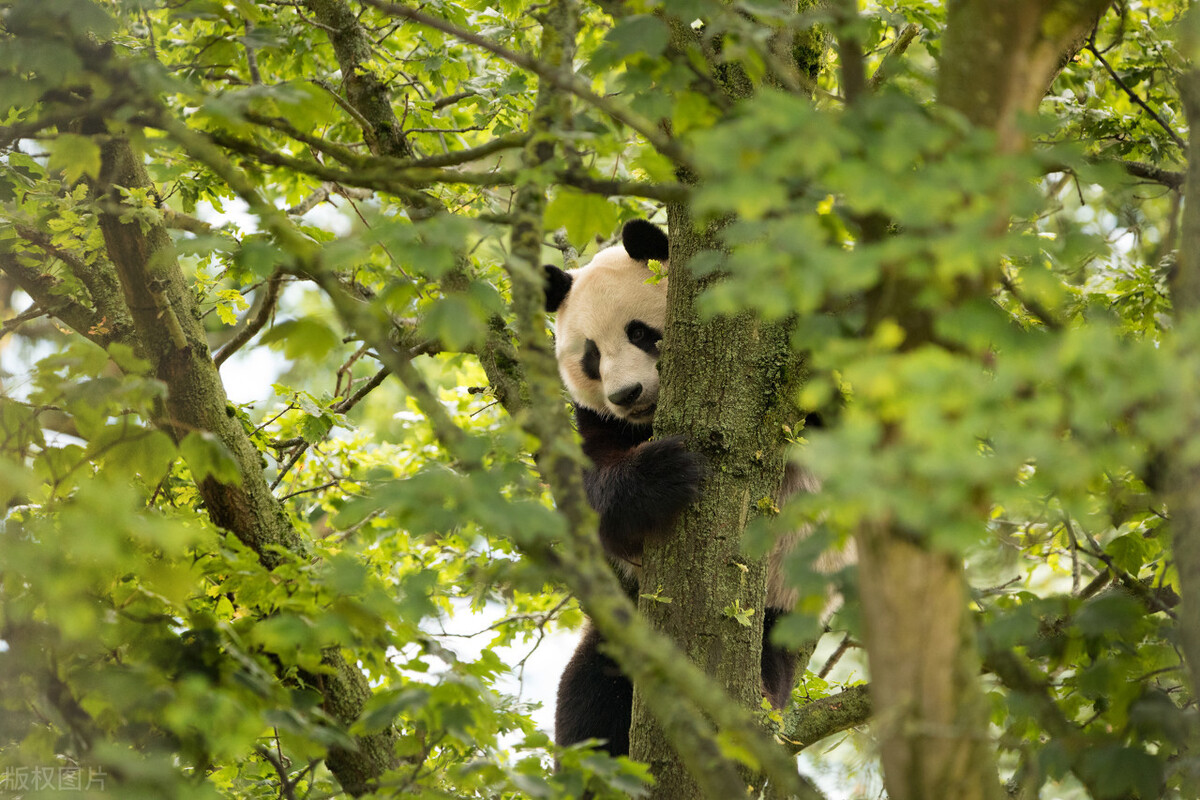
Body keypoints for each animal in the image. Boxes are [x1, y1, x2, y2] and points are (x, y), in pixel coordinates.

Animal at [544, 219, 806, 758]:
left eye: (640, 333)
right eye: (591, 356)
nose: (627, 394)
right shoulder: (597, 421)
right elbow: (590, 496)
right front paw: (665, 472)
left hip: (783, 594)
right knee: (589, 699)